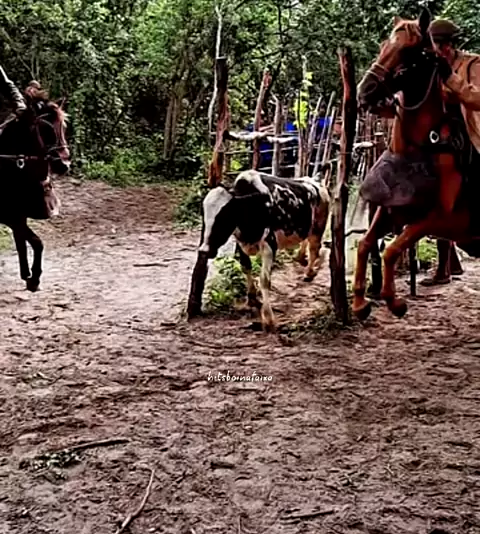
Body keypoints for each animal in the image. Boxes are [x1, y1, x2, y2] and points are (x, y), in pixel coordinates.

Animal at [0, 83, 70, 291]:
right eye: (45, 129)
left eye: (63, 126)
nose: (64, 165)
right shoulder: (10, 216)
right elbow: (36, 242)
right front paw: (34, 277)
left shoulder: (18, 215)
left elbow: (22, 243)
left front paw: (27, 275)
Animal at [352, 8, 480, 320]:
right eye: (384, 45)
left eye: (409, 51)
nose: (365, 90)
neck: (419, 149)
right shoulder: (391, 210)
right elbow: (365, 244)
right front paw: (360, 303)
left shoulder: (437, 219)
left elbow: (391, 249)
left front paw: (394, 301)